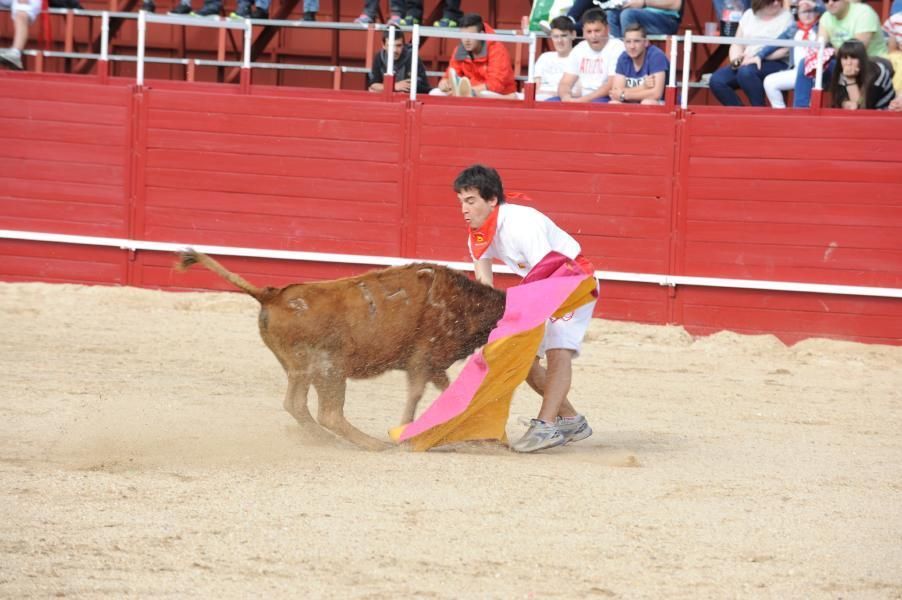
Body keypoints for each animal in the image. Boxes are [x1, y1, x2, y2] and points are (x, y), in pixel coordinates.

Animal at [173, 250, 504, 450]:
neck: (463, 299)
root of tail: (271, 295)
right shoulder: (423, 358)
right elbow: (419, 393)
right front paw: (406, 433)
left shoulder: (434, 365)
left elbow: (454, 392)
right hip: (330, 369)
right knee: (329, 413)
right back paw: (372, 444)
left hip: (301, 370)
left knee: (296, 404)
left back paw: (323, 440)